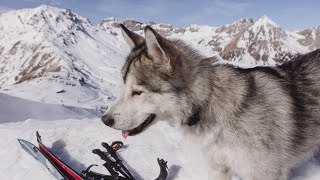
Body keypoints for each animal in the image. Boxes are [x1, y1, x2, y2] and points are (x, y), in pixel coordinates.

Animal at [100, 24, 320, 180]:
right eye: (124, 88)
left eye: (137, 92)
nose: (105, 120)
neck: (206, 103)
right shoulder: (218, 168)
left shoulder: (264, 173)